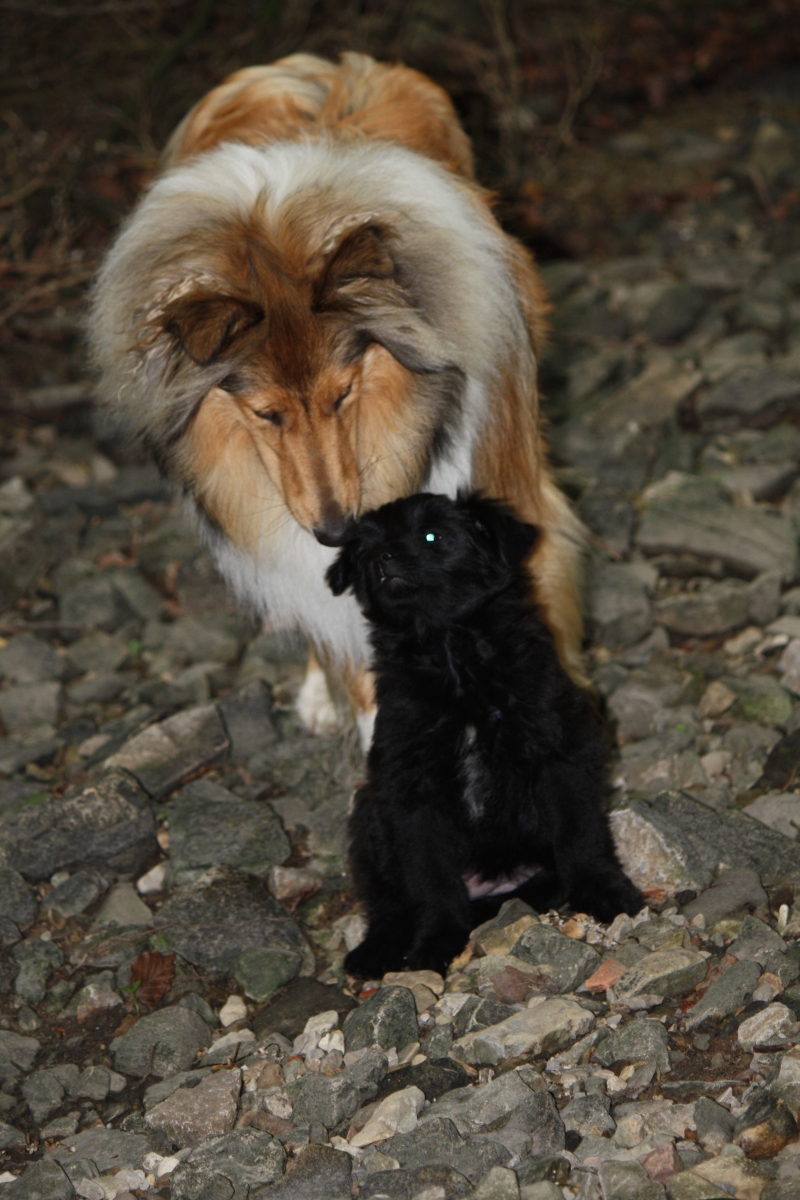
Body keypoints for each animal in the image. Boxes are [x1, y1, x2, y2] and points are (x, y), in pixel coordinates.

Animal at [326, 491, 642, 977]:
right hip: (368, 819)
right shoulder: (410, 789)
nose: (383, 558)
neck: (455, 658)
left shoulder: (562, 753)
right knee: (388, 903)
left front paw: (605, 892)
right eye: (364, 551)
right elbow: (430, 876)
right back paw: (375, 950)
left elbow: (581, 835)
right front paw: (437, 941)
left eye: (432, 535)